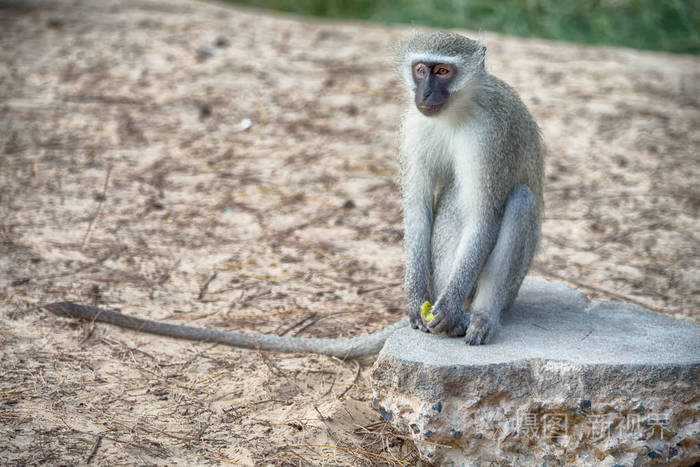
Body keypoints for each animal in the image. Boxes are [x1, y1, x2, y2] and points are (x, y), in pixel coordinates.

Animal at [400, 30, 540, 344]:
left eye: (443, 71)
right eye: (420, 70)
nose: (425, 94)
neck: (455, 111)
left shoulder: (490, 134)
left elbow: (483, 217)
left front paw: (449, 306)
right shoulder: (415, 126)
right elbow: (417, 210)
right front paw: (416, 300)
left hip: (513, 288)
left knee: (521, 199)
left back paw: (480, 316)